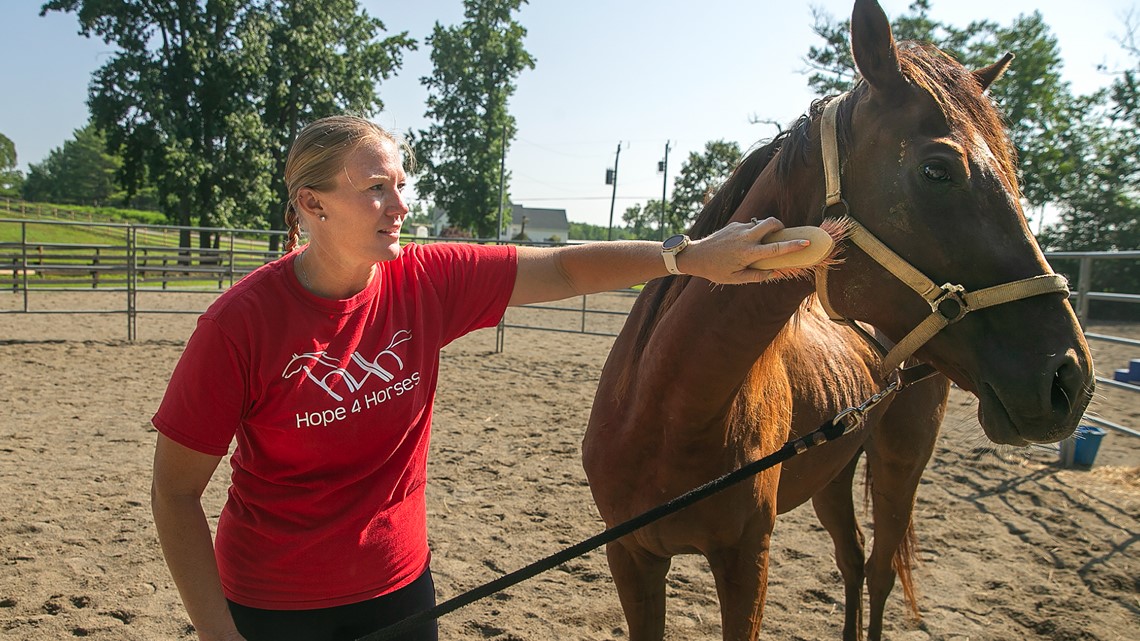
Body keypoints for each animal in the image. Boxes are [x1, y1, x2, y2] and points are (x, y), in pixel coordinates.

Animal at [588, 1, 1094, 638]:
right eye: (937, 170)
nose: (1068, 378)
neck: (666, 415)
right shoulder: (631, 557)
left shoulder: (746, 561)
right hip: (832, 473)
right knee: (852, 560)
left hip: (901, 466)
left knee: (877, 573)